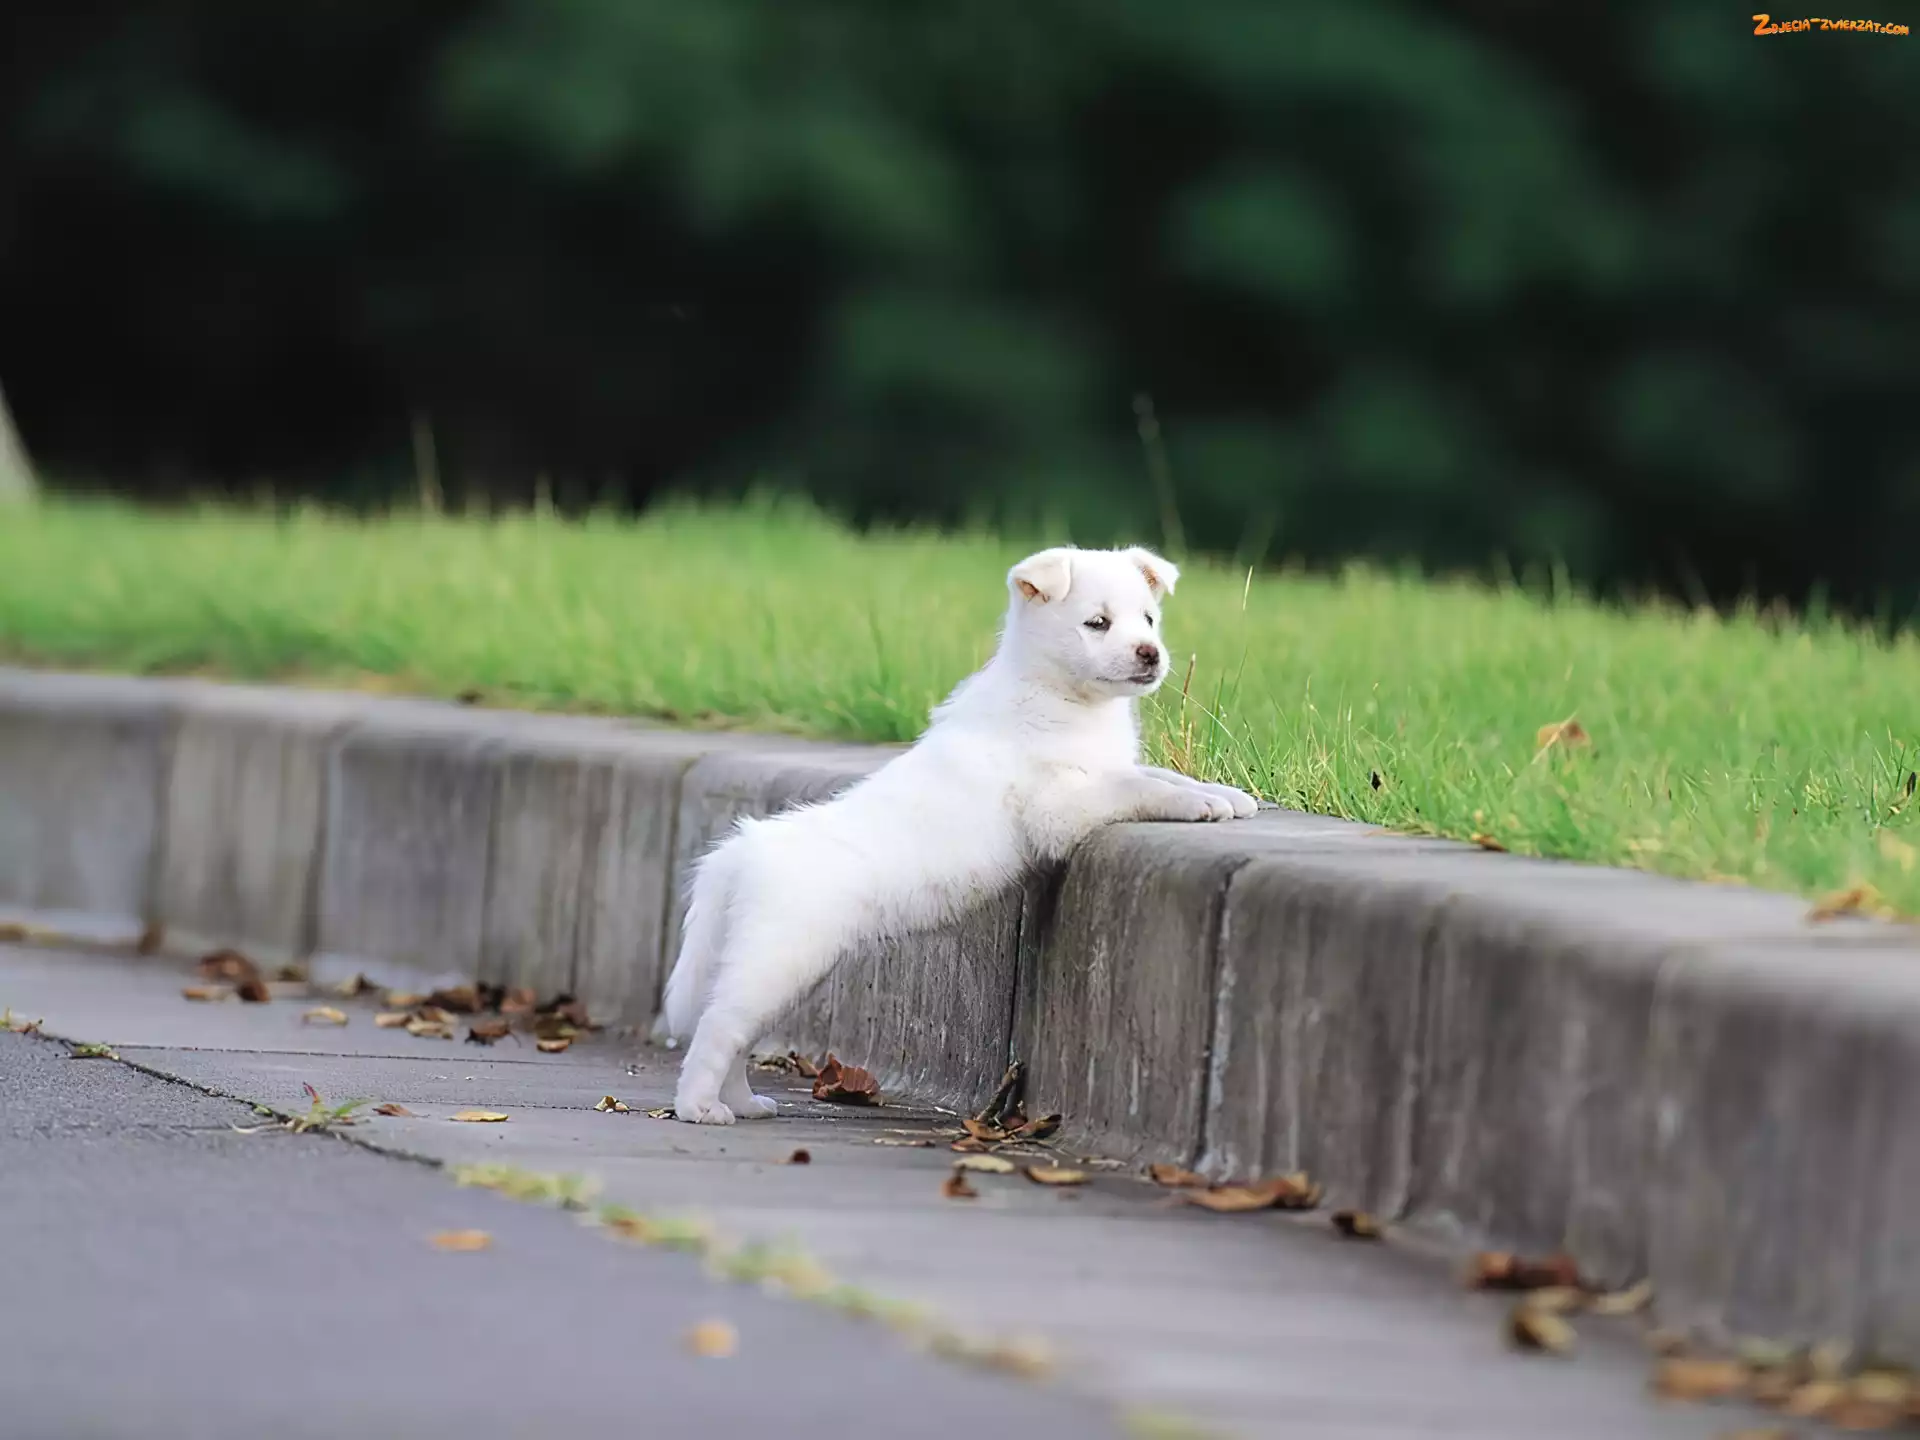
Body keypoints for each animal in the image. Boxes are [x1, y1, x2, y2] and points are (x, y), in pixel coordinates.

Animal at [658, 544, 1260, 1123]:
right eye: (1097, 623)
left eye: (1149, 619)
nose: (1150, 653)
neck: (1060, 695)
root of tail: (745, 848)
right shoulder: (1062, 804)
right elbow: (1138, 787)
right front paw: (1200, 804)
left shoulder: (1100, 769)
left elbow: (1156, 775)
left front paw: (1227, 794)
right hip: (778, 959)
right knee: (717, 1029)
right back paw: (700, 1108)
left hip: (783, 969)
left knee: (737, 1036)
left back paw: (742, 1102)